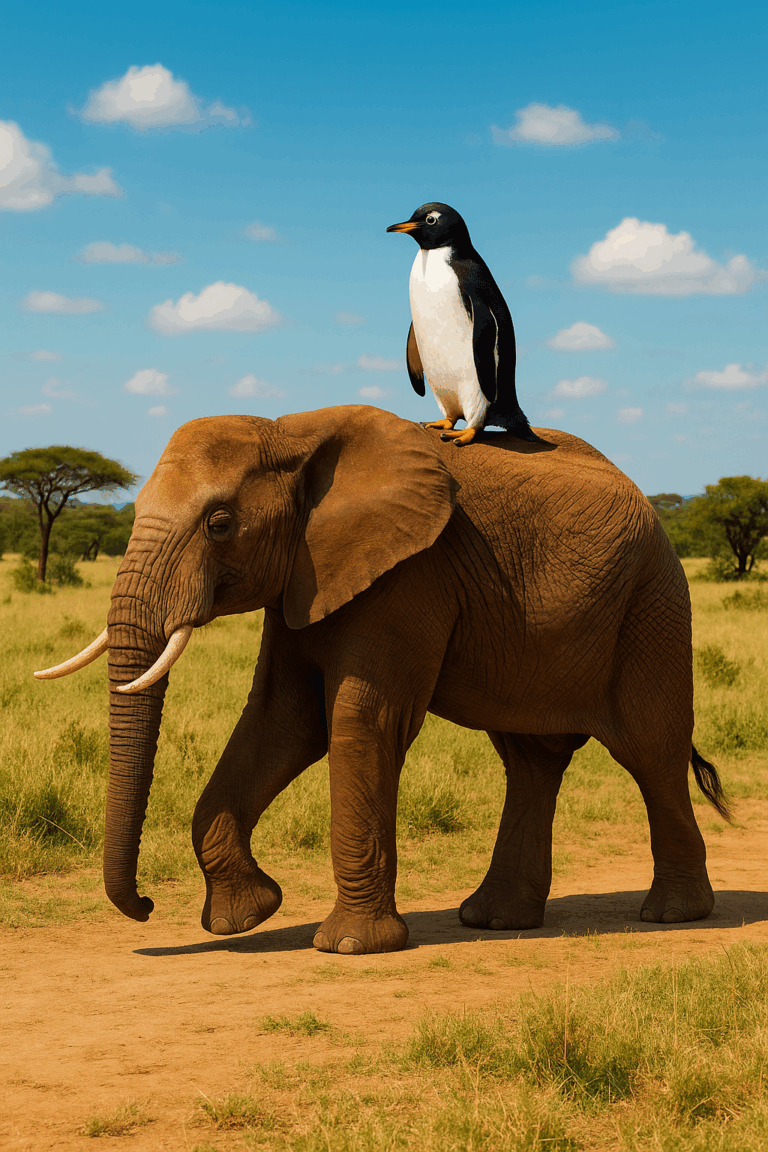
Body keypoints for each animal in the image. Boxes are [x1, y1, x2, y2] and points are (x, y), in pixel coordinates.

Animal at [35, 404, 728, 955]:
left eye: (220, 522)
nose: (147, 906)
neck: (290, 429)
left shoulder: (411, 573)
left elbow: (358, 720)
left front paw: (347, 947)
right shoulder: (305, 574)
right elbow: (282, 721)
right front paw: (244, 919)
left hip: (653, 601)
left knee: (650, 750)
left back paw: (675, 915)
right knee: (530, 760)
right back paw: (495, 920)